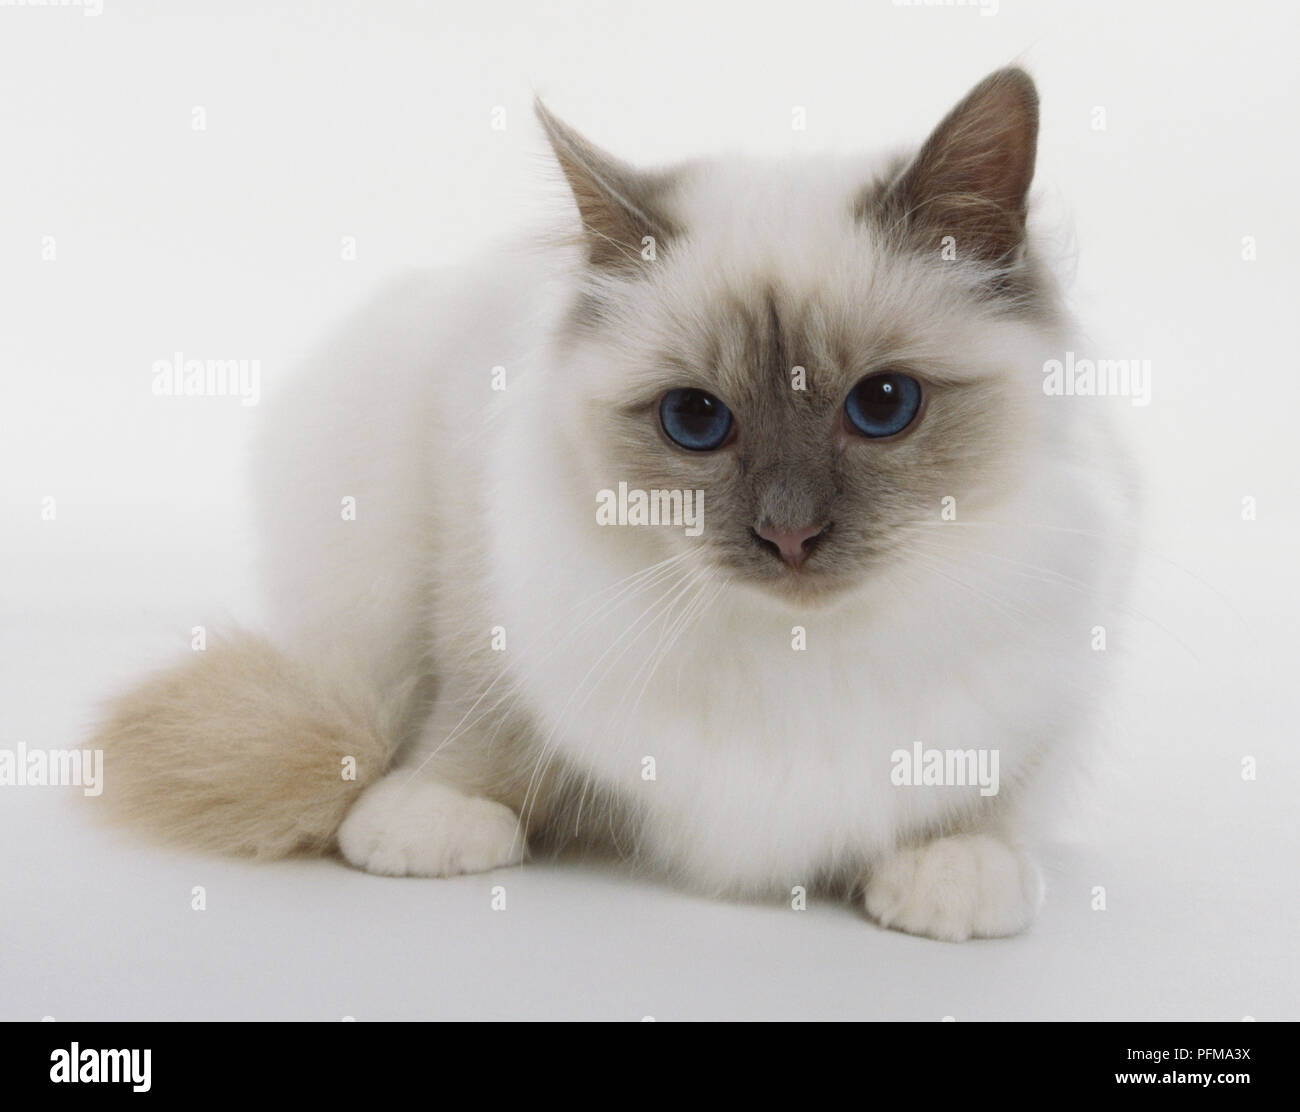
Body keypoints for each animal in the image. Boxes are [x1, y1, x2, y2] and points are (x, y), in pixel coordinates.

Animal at [91, 67, 1133, 941]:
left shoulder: (1035, 680)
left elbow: (987, 789)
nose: (789, 535)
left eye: (883, 406)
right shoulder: (479, 551)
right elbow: (482, 704)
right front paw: (437, 812)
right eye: (694, 420)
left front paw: (958, 864)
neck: (798, 653)